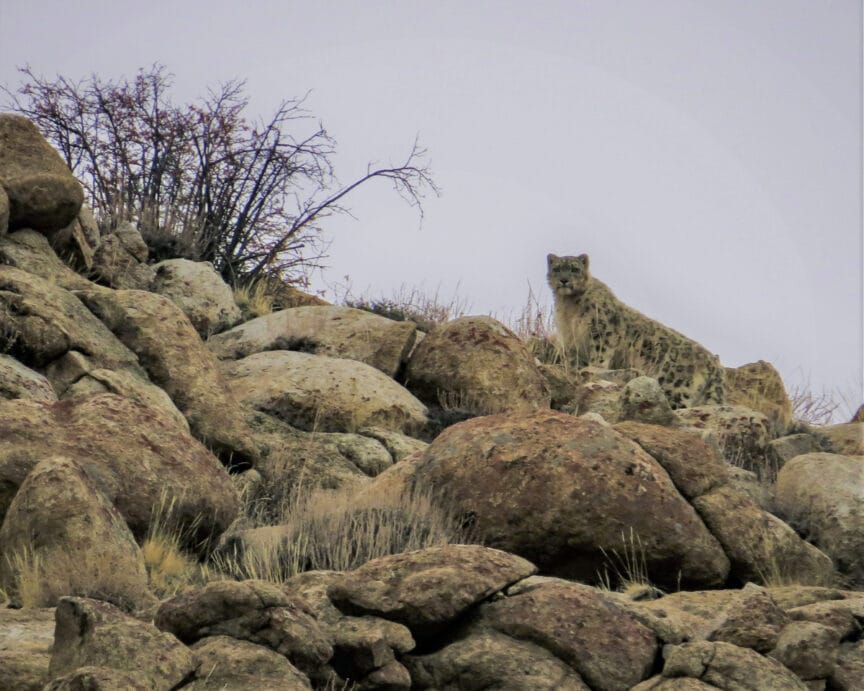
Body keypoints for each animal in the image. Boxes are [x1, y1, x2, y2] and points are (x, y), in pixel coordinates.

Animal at [547, 253, 726, 409]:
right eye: (557, 269)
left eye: (574, 269)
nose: (564, 280)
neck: (569, 308)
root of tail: (713, 362)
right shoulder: (570, 340)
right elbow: (573, 361)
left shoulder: (602, 332)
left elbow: (599, 356)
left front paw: (594, 369)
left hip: (676, 387)